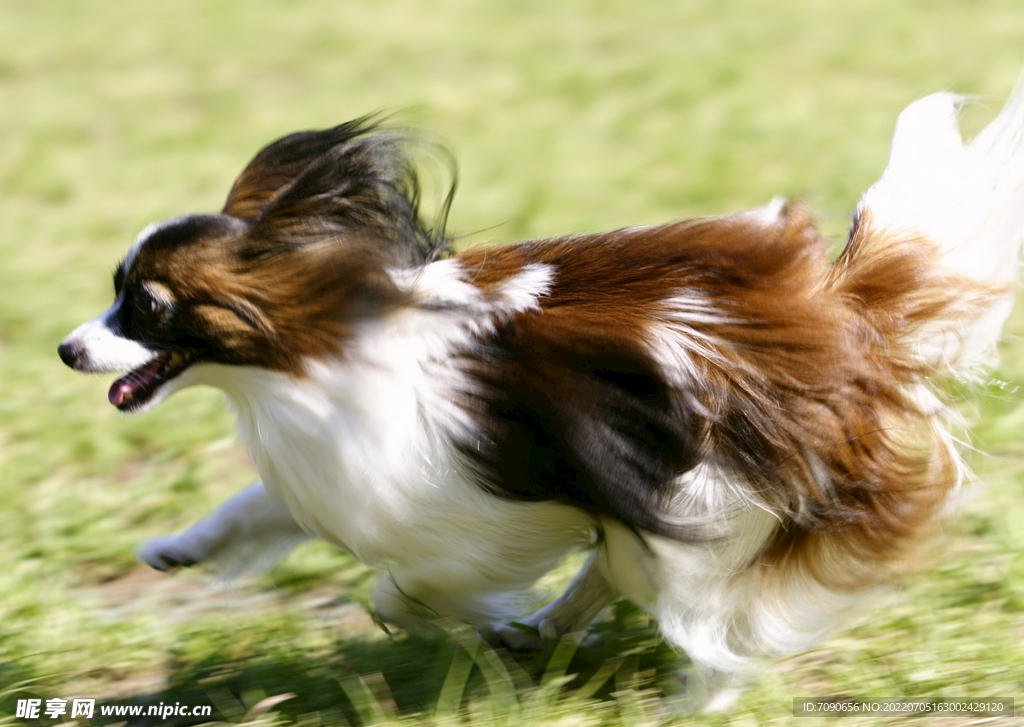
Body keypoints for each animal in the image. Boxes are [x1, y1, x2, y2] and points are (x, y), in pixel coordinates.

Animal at [58, 81, 1024, 712]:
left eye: (146, 307)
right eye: (115, 293)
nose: (67, 348)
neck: (312, 349)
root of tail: (844, 316)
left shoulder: (465, 516)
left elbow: (401, 588)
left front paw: (454, 618)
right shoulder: (331, 470)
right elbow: (252, 507)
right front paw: (176, 548)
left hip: (704, 504)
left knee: (707, 629)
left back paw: (677, 700)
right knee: (615, 570)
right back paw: (549, 629)